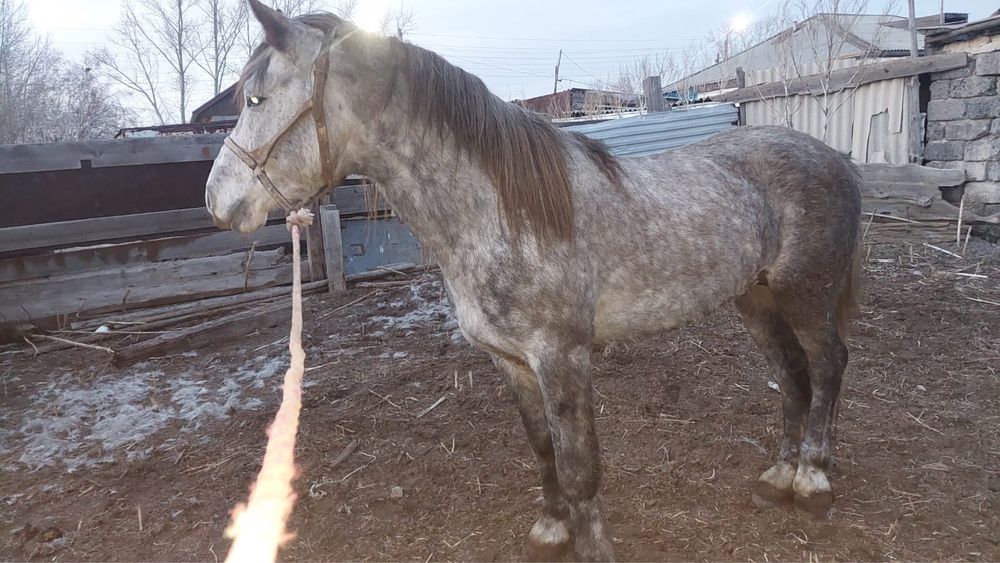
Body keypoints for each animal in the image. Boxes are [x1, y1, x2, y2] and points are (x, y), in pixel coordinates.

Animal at [205, 2, 862, 560]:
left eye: (257, 97)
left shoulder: (562, 356)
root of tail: (834, 157)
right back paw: (779, 476)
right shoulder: (512, 362)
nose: (217, 201)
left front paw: (593, 548)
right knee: (792, 373)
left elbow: (579, 464)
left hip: (806, 294)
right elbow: (542, 448)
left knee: (829, 363)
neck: (498, 213)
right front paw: (551, 529)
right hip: (758, 298)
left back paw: (813, 479)